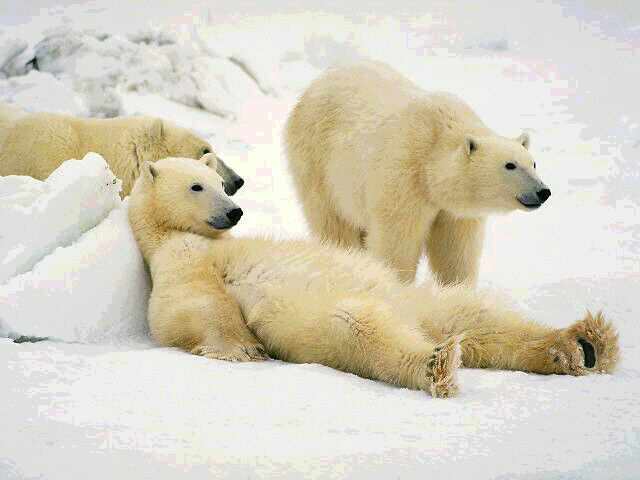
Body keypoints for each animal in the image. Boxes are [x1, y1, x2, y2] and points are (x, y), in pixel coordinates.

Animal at [127, 156, 619, 398]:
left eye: (219, 183)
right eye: (197, 185)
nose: (234, 211)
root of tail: (417, 322)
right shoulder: (177, 260)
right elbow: (189, 307)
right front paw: (243, 349)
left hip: (419, 299)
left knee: (476, 316)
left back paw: (583, 344)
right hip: (326, 319)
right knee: (359, 329)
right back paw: (437, 363)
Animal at [285, 61, 551, 286]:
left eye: (533, 163)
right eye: (510, 165)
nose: (543, 191)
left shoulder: (454, 212)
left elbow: (455, 251)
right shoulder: (405, 177)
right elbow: (397, 242)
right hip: (318, 162)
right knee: (334, 224)